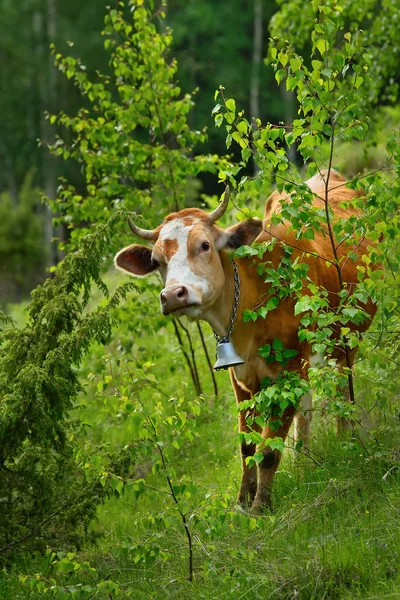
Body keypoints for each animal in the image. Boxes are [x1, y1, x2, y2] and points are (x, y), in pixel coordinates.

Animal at [114, 169, 376, 510]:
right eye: (157, 261)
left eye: (204, 245)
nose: (173, 294)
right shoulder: (240, 378)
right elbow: (247, 447)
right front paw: (241, 503)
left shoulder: (290, 369)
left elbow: (268, 450)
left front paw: (260, 508)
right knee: (306, 410)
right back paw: (304, 460)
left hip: (345, 339)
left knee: (343, 391)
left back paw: (346, 439)